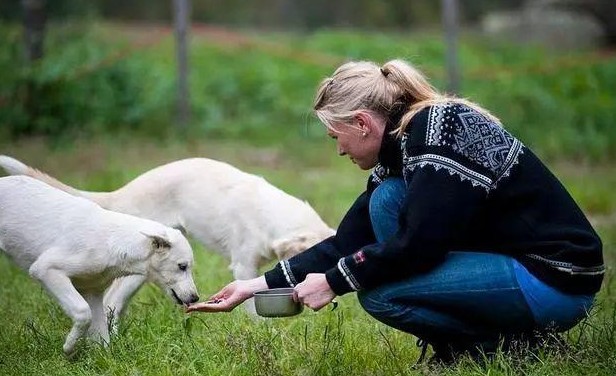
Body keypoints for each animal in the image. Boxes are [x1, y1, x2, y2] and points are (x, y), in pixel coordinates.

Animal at [0, 156, 334, 314]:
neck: (270, 214)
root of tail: (122, 194)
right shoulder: (243, 265)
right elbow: (250, 304)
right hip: (139, 269)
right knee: (110, 300)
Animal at [0, 176, 199, 356]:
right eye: (182, 266)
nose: (195, 298)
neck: (112, 241)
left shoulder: (93, 292)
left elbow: (102, 339)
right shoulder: (46, 269)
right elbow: (83, 313)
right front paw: (69, 348)